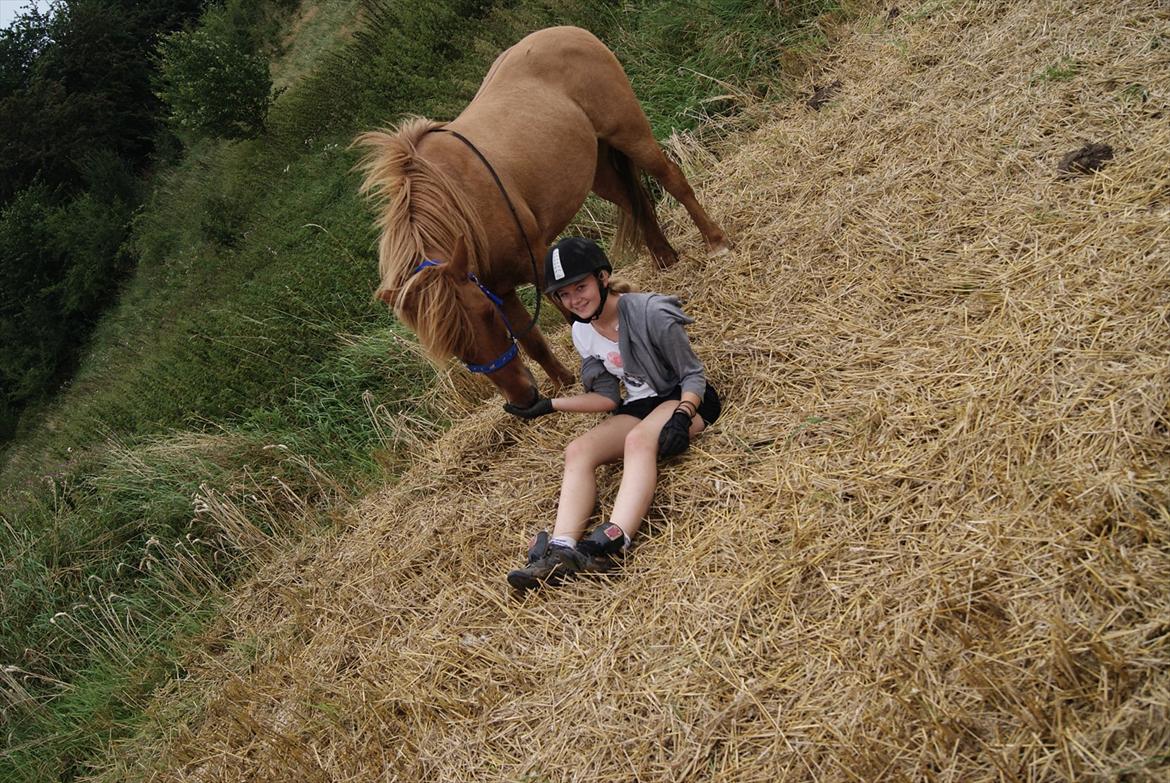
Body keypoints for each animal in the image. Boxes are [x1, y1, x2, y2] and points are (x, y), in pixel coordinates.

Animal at [351, 27, 725, 407]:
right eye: (454, 348)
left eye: (487, 315)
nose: (523, 397)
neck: (459, 200)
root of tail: (572, 31)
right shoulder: (498, 286)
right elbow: (531, 340)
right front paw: (561, 381)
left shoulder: (533, 265)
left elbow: (571, 317)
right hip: (597, 166)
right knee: (636, 203)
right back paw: (664, 258)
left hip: (629, 133)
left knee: (672, 179)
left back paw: (715, 241)